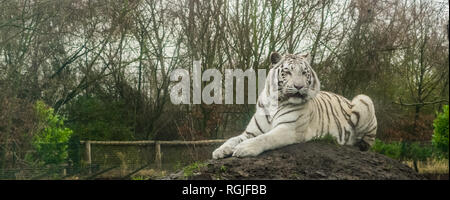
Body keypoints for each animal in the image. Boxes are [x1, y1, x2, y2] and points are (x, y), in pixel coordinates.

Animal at [213, 52, 378, 159]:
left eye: (304, 73)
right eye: (287, 72)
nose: (299, 86)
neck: (276, 101)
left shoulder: (288, 129)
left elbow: (265, 138)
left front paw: (244, 148)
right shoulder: (251, 132)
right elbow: (232, 139)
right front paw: (220, 150)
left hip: (363, 98)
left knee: (367, 142)